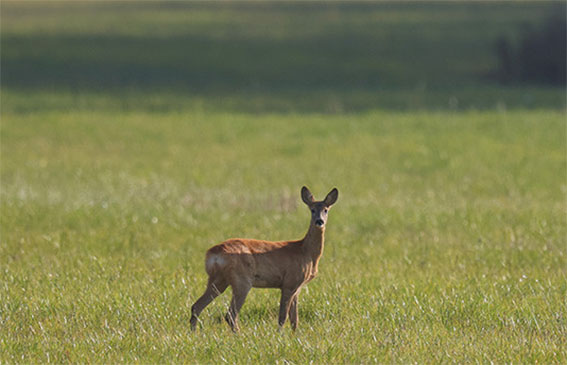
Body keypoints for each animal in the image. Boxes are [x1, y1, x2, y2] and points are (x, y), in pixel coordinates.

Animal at [191, 186, 338, 332]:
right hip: (242, 280)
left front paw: (295, 335)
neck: (305, 251)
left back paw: (194, 333)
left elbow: (294, 319)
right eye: (312, 209)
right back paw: (240, 335)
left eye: (326, 209)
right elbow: (283, 317)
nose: (319, 221)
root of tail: (213, 254)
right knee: (230, 315)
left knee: (196, 306)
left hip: (218, 280)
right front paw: (280, 335)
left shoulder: (297, 287)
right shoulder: (289, 283)